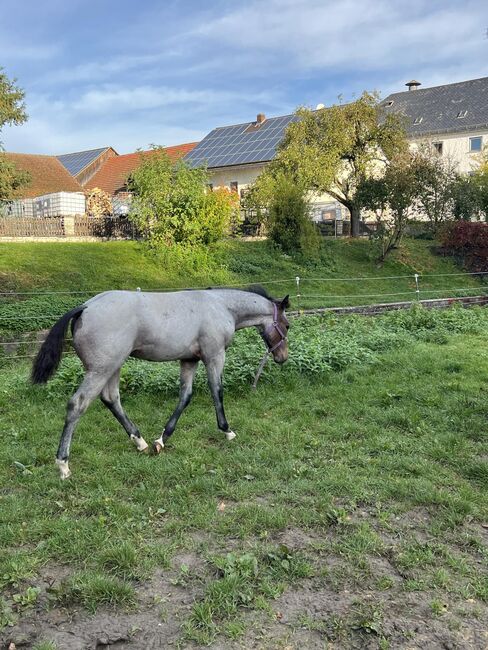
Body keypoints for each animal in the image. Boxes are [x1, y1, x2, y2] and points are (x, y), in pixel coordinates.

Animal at [31, 286, 290, 478]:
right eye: (287, 325)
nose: (282, 357)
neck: (220, 305)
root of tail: (85, 307)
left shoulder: (189, 360)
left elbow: (185, 396)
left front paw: (161, 440)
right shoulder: (214, 356)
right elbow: (217, 391)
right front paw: (227, 431)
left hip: (113, 367)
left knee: (111, 398)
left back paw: (140, 442)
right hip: (101, 369)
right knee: (78, 404)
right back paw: (63, 464)